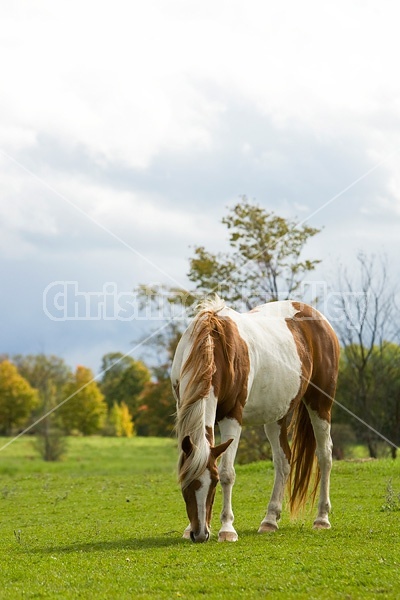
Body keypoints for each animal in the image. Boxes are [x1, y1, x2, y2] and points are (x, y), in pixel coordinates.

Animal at [171, 296, 340, 544]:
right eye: (185, 484)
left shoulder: (232, 417)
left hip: (320, 405)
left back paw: (322, 518)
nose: (200, 534)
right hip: (276, 414)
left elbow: (228, 473)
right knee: (283, 461)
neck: (213, 343)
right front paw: (187, 528)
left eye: (213, 484)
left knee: (325, 455)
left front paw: (227, 529)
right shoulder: (182, 408)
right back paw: (270, 520)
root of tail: (319, 319)